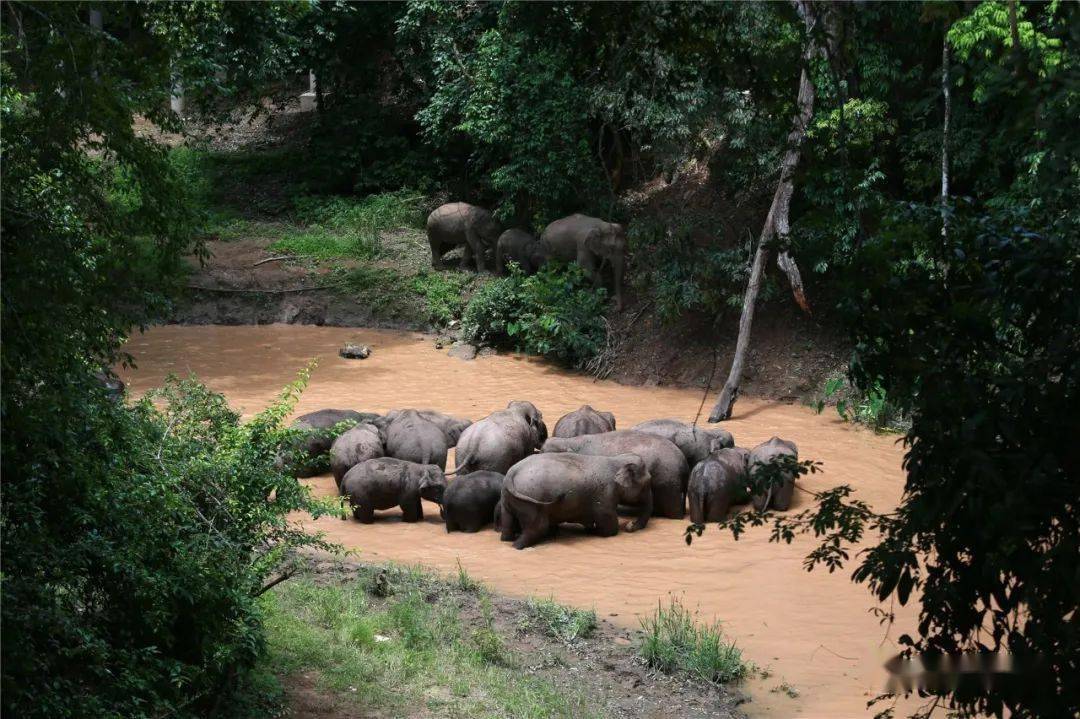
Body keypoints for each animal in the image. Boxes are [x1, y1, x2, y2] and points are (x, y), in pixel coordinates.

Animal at [496, 453, 648, 548]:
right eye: (647, 482)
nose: (630, 525)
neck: (616, 460)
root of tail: (511, 473)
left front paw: (590, 528)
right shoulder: (606, 496)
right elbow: (609, 528)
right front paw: (596, 531)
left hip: (508, 499)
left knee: (507, 529)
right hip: (531, 502)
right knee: (538, 528)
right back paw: (517, 545)